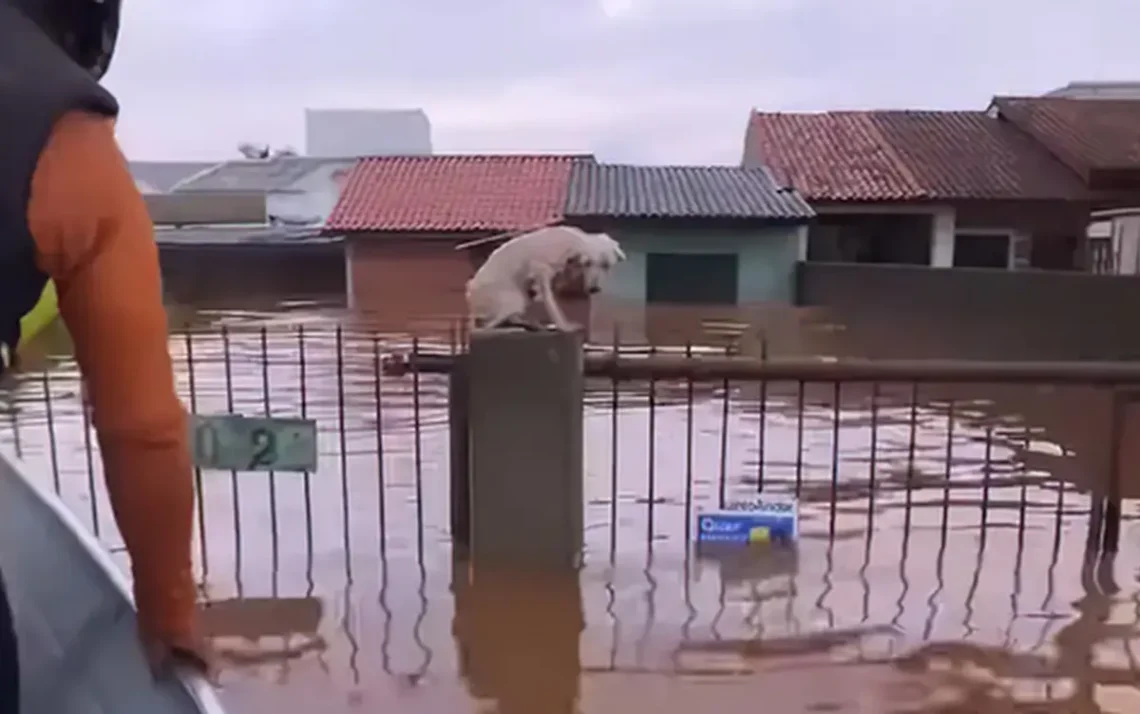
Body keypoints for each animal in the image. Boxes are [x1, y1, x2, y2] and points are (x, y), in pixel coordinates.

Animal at [462, 224, 624, 330]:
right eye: (588, 263)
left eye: (606, 265)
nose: (594, 289)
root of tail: (470, 293)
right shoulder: (541, 269)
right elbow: (551, 302)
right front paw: (564, 325)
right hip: (512, 299)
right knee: (488, 324)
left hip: (518, 299)